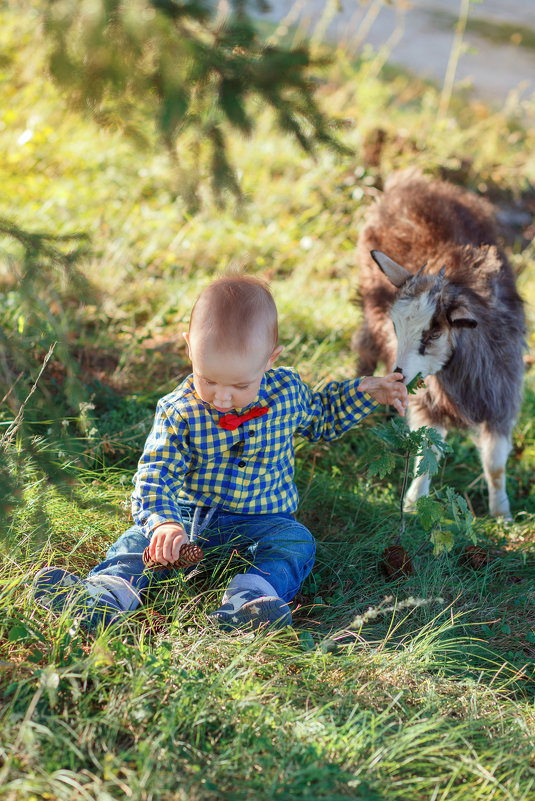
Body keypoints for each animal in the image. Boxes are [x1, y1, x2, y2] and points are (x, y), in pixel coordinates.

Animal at [354, 170, 524, 520]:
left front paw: (502, 515)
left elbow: (496, 464)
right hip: (367, 300)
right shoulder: (428, 400)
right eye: (396, 326)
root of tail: (411, 181)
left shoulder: (502, 398)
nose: (399, 376)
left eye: (433, 334)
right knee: (364, 344)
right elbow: (427, 450)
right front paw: (413, 504)